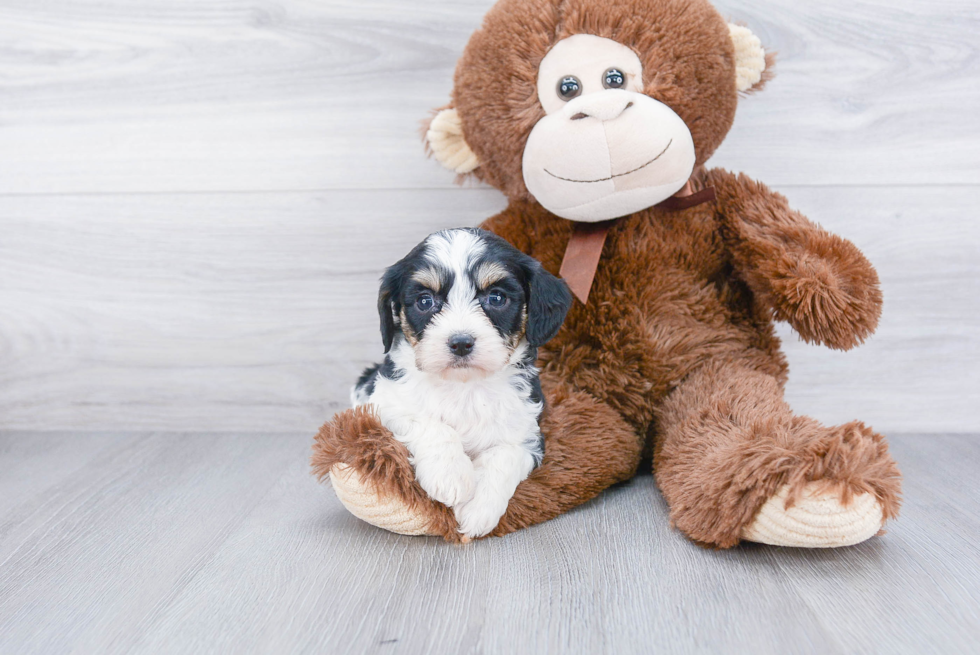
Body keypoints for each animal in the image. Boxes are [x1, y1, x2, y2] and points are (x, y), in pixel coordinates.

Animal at [350, 228, 572, 540]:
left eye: (496, 297)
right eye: (425, 301)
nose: (461, 343)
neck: (465, 386)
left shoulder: (529, 432)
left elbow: (503, 455)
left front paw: (479, 506)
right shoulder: (383, 402)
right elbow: (430, 424)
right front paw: (450, 475)